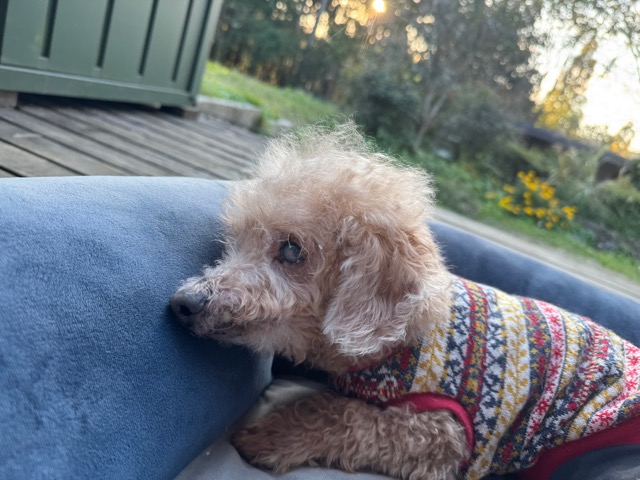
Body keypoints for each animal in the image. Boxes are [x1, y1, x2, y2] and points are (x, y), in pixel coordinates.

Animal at [170, 124, 640, 480]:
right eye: (236, 243)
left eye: (290, 249)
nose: (184, 302)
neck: (401, 340)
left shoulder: (441, 433)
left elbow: (343, 416)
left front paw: (271, 437)